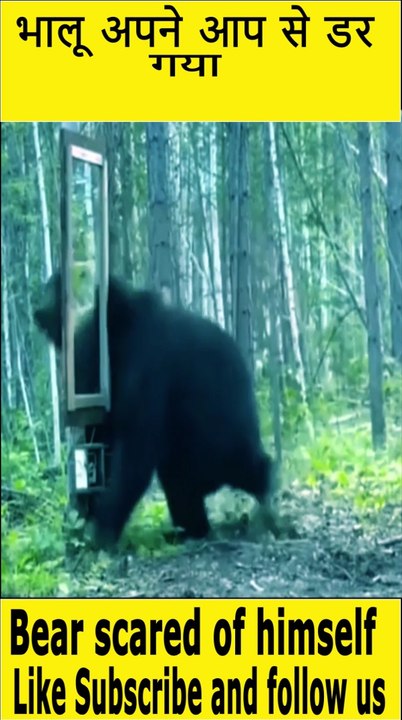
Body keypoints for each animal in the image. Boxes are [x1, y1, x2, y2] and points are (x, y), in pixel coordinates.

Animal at [34, 272, 274, 547]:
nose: (39, 313)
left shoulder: (150, 372)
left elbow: (135, 452)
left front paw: (102, 527)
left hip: (216, 432)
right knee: (182, 483)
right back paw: (192, 527)